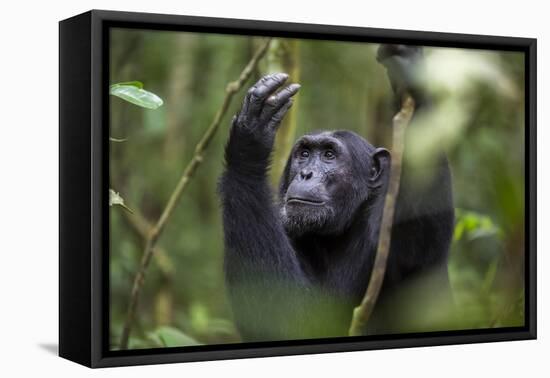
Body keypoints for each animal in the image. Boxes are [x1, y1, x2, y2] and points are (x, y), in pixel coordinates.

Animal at [220, 43, 458, 340]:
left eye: (329, 155)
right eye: (305, 154)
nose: (306, 173)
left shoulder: (409, 236)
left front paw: (409, 70)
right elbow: (289, 318)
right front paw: (249, 139)